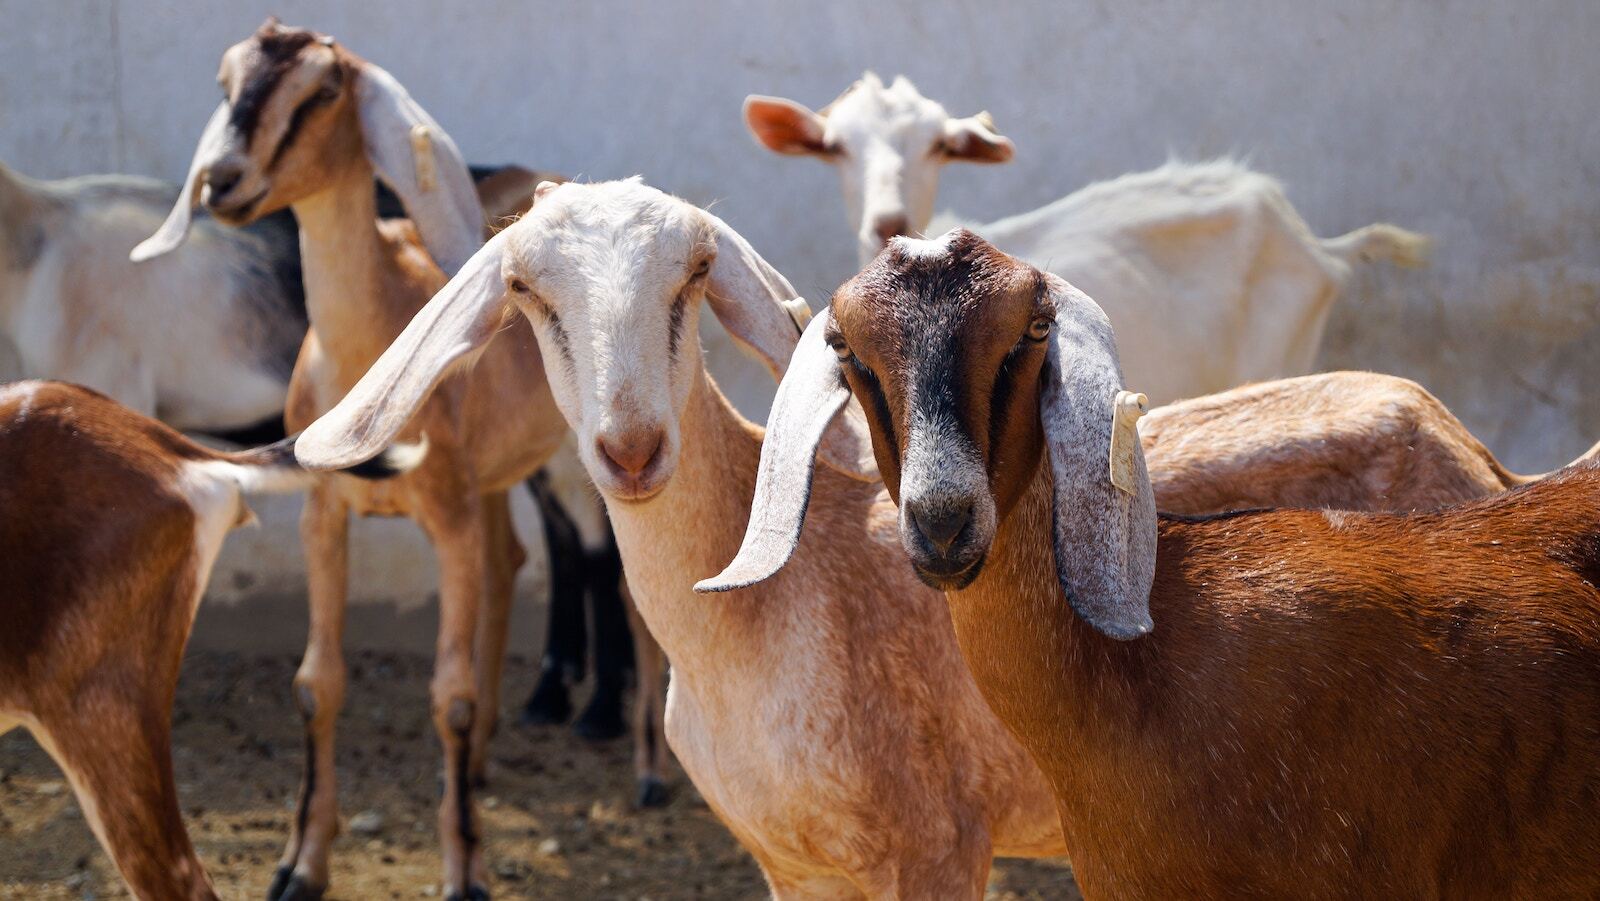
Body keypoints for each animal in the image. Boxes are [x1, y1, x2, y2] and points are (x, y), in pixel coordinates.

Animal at [132, 21, 572, 899]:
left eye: (324, 90)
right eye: (227, 80)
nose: (223, 181)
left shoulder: (447, 517)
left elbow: (450, 695)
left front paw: (465, 872)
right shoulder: (324, 512)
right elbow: (316, 683)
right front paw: (301, 863)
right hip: (495, 483)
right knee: (509, 560)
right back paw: (481, 769)